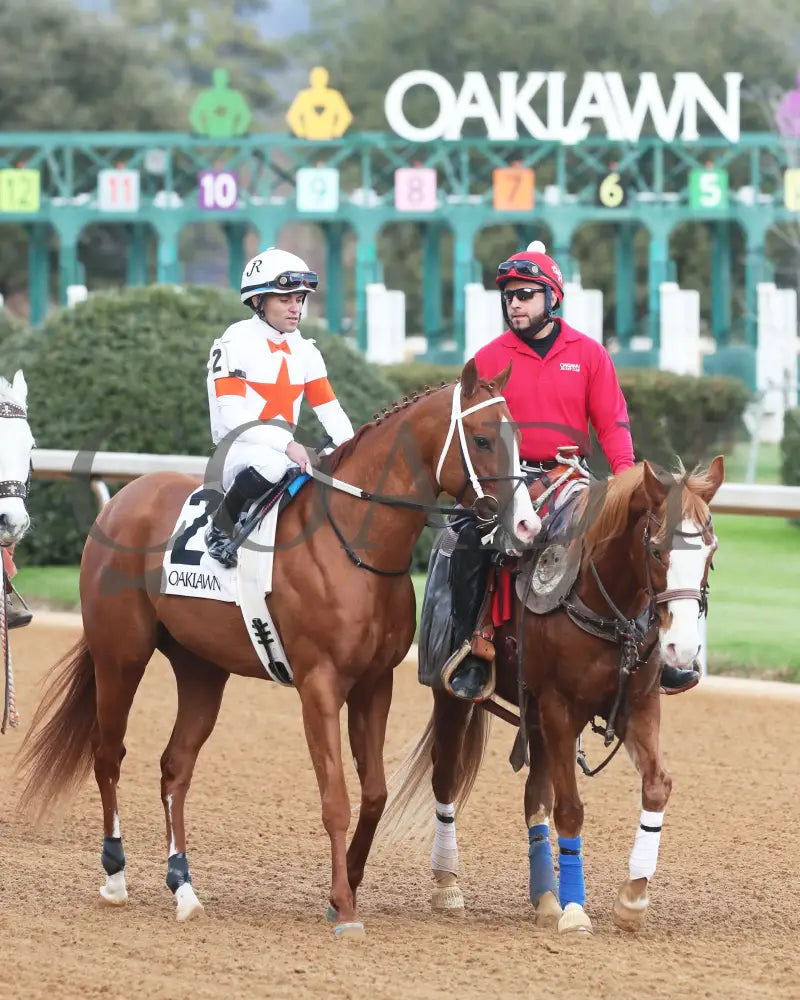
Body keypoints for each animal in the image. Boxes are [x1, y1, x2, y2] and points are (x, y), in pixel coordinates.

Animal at [18, 360, 540, 936]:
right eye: (484, 438)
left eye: (518, 438)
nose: (526, 525)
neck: (354, 546)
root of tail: (122, 500)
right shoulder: (320, 685)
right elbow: (335, 798)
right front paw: (345, 907)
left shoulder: (374, 683)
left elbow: (374, 793)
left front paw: (346, 886)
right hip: (121, 655)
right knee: (108, 753)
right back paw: (114, 875)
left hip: (201, 669)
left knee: (175, 766)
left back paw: (183, 886)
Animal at [382, 458, 724, 932]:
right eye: (657, 551)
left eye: (710, 553)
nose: (684, 648)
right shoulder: (560, 707)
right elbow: (570, 810)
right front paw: (576, 910)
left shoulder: (638, 707)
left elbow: (657, 786)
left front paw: (633, 898)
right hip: (454, 699)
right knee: (446, 779)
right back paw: (448, 883)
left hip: (537, 719)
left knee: (534, 797)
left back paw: (545, 897)